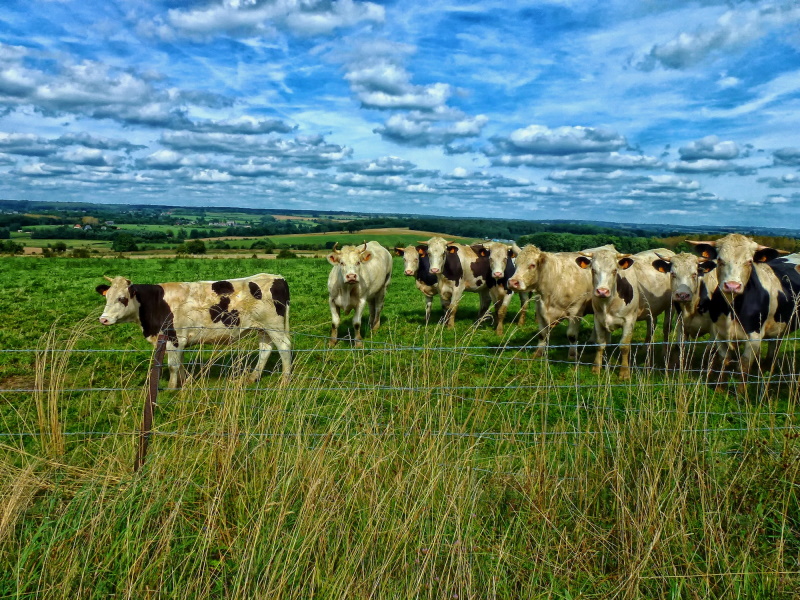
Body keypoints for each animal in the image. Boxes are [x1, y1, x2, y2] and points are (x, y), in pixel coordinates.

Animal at [95, 274, 290, 390]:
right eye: (107, 297)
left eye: (122, 298)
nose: (103, 319)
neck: (156, 303)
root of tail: (276, 277)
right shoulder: (177, 340)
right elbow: (180, 363)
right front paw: (185, 382)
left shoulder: (174, 337)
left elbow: (173, 365)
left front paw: (171, 388)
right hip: (263, 328)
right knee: (265, 349)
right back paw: (252, 378)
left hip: (274, 326)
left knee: (285, 348)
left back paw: (284, 380)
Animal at [576, 247, 676, 380]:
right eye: (593, 270)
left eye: (614, 270)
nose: (602, 291)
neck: (607, 304)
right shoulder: (598, 319)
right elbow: (600, 344)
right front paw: (596, 368)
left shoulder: (629, 320)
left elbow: (624, 346)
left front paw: (624, 372)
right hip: (650, 309)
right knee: (651, 326)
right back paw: (645, 348)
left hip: (671, 306)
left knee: (666, 328)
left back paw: (665, 352)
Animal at [688, 234, 800, 390]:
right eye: (720, 260)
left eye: (749, 261)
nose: (732, 286)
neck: (732, 309)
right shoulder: (718, 333)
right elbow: (724, 359)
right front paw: (719, 388)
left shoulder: (754, 337)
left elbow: (744, 365)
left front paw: (741, 392)